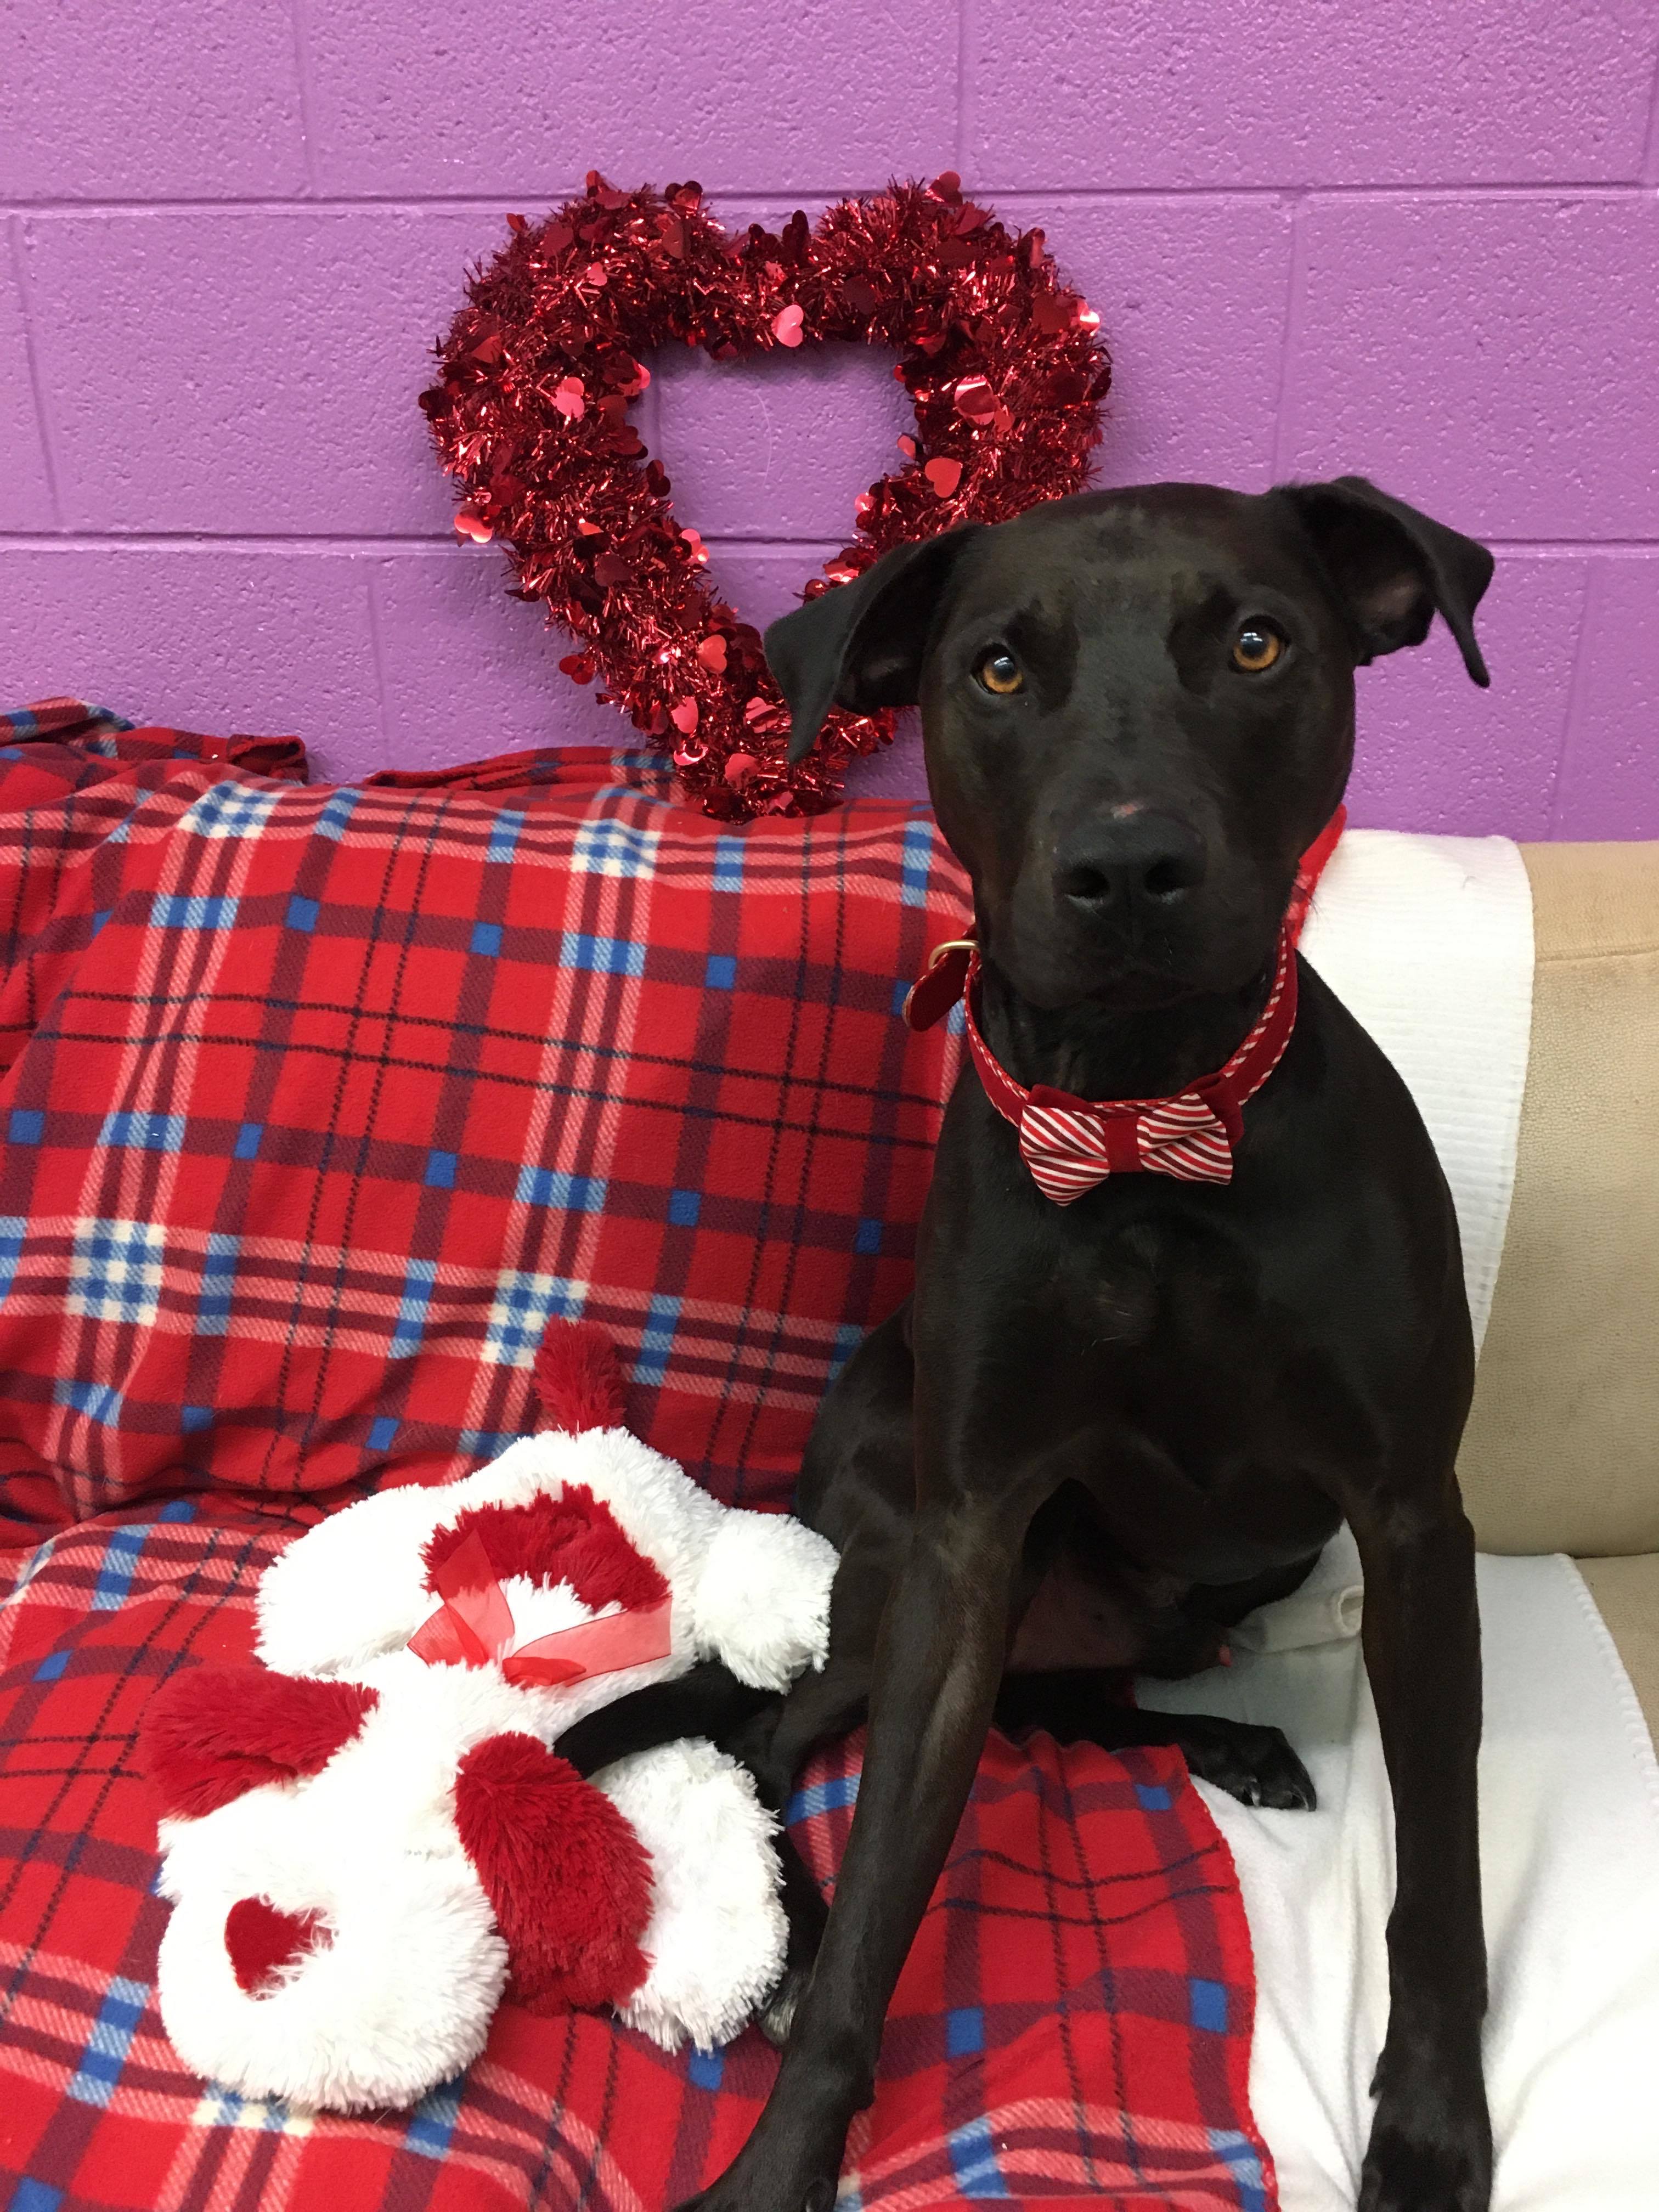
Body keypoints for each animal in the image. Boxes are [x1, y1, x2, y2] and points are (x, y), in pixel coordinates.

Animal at [566, 484, 1504, 2212]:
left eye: (1258, 643)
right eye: (997, 669)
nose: (1128, 866)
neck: (1142, 1140)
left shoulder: (1414, 1525)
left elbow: (1443, 1870)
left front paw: (1426, 2127)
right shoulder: (969, 1541)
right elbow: (885, 1887)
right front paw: (784, 2151)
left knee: (1068, 1709)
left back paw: (1224, 1741)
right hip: (887, 1554)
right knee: (776, 1740)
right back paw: (791, 1932)